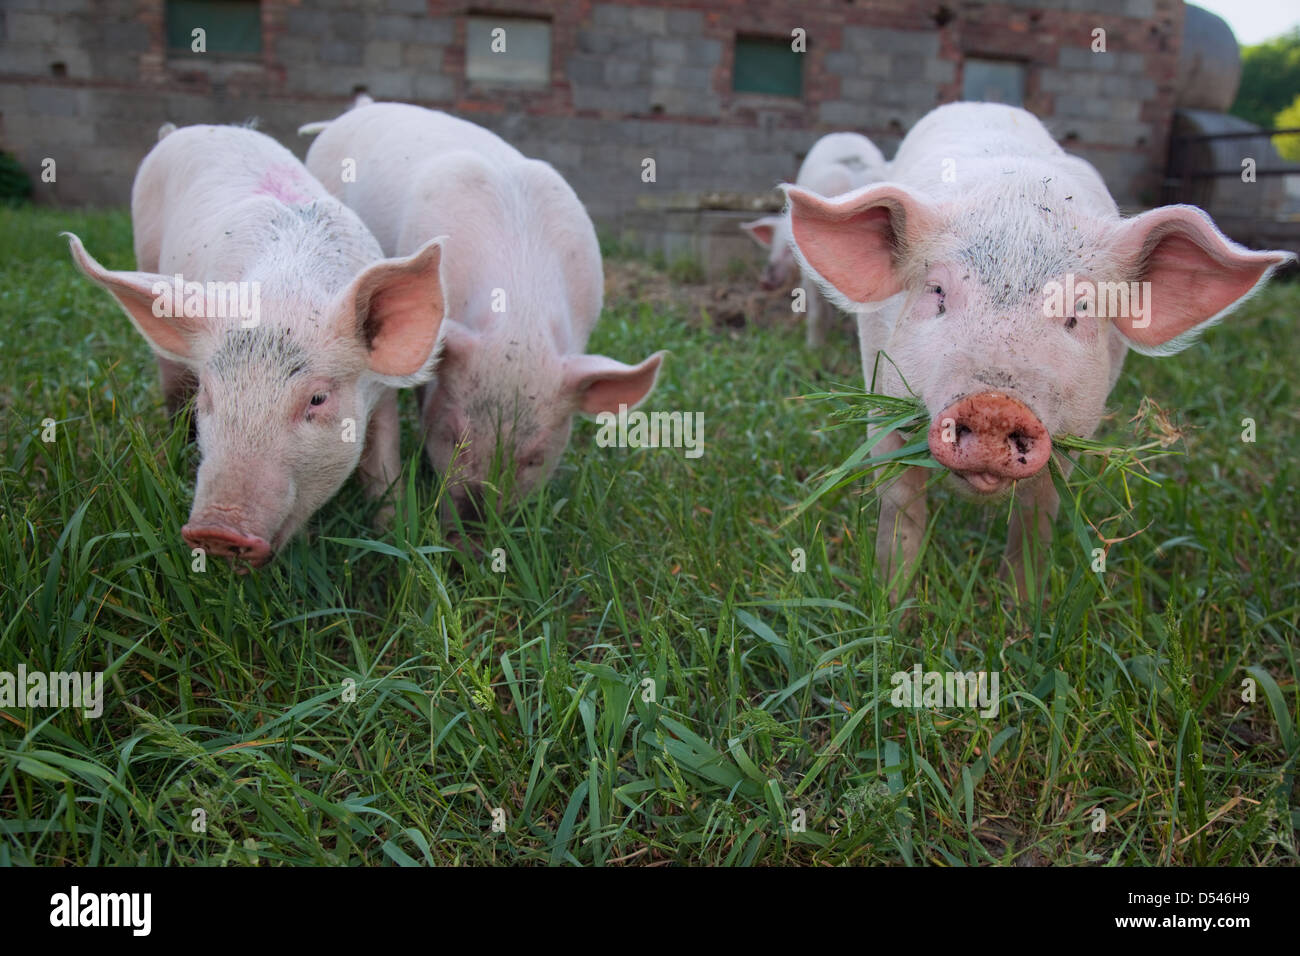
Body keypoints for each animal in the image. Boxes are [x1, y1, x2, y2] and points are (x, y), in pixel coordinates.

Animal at [67, 122, 452, 564]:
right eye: (209, 396)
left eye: (317, 399)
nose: (217, 529)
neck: (286, 291)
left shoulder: (382, 390)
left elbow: (383, 464)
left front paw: (392, 535)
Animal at [774, 102, 1294, 598]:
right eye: (938, 292)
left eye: (1079, 310)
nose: (995, 406)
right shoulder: (879, 388)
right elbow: (900, 502)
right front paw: (892, 604)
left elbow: (1037, 516)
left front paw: (1021, 613)